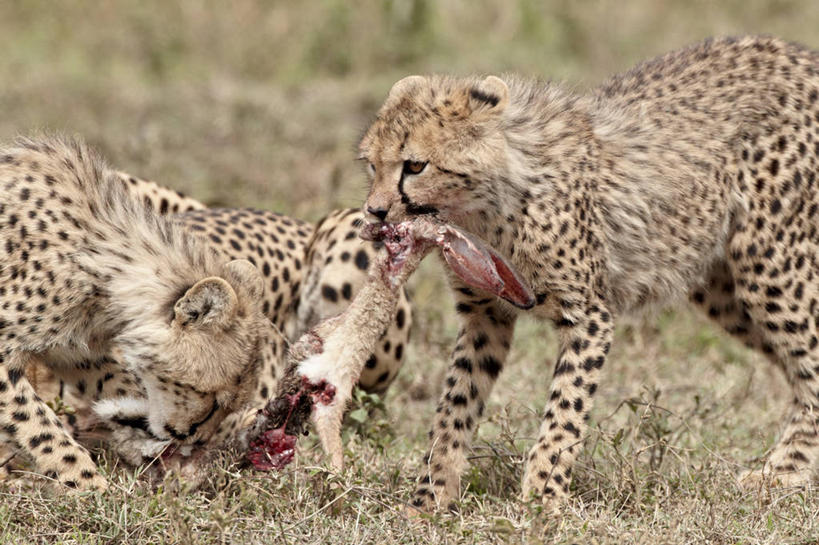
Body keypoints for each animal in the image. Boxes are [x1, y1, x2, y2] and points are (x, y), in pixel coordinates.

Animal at [0, 136, 274, 488]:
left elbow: (116, 376)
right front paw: (90, 486)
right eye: (214, 400)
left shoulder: (71, 348)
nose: (196, 438)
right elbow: (40, 427)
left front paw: (131, 420)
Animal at [362, 36, 819, 512]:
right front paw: (428, 499)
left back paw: (784, 470)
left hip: (769, 263)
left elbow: (565, 409)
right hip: (723, 290)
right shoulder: (484, 316)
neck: (488, 205)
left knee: (811, 364)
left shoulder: (589, 315)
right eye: (372, 165)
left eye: (415, 166)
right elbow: (455, 403)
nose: (374, 212)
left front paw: (543, 498)